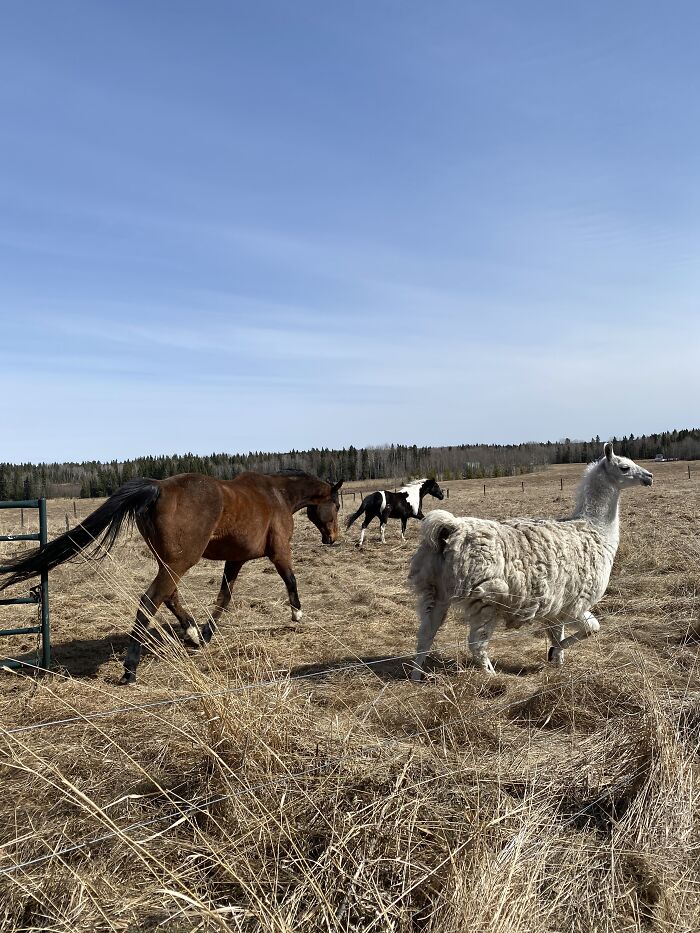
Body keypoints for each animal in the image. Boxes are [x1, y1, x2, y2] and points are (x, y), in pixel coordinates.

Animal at [0, 470, 343, 684]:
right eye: (337, 505)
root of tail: (158, 486)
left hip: (169, 562)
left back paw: (191, 634)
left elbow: (224, 596)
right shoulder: (279, 551)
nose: (333, 538)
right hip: (180, 561)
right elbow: (290, 579)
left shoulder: (235, 559)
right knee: (151, 600)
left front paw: (206, 634)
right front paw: (297, 614)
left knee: (169, 596)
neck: (277, 494)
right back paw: (130, 670)